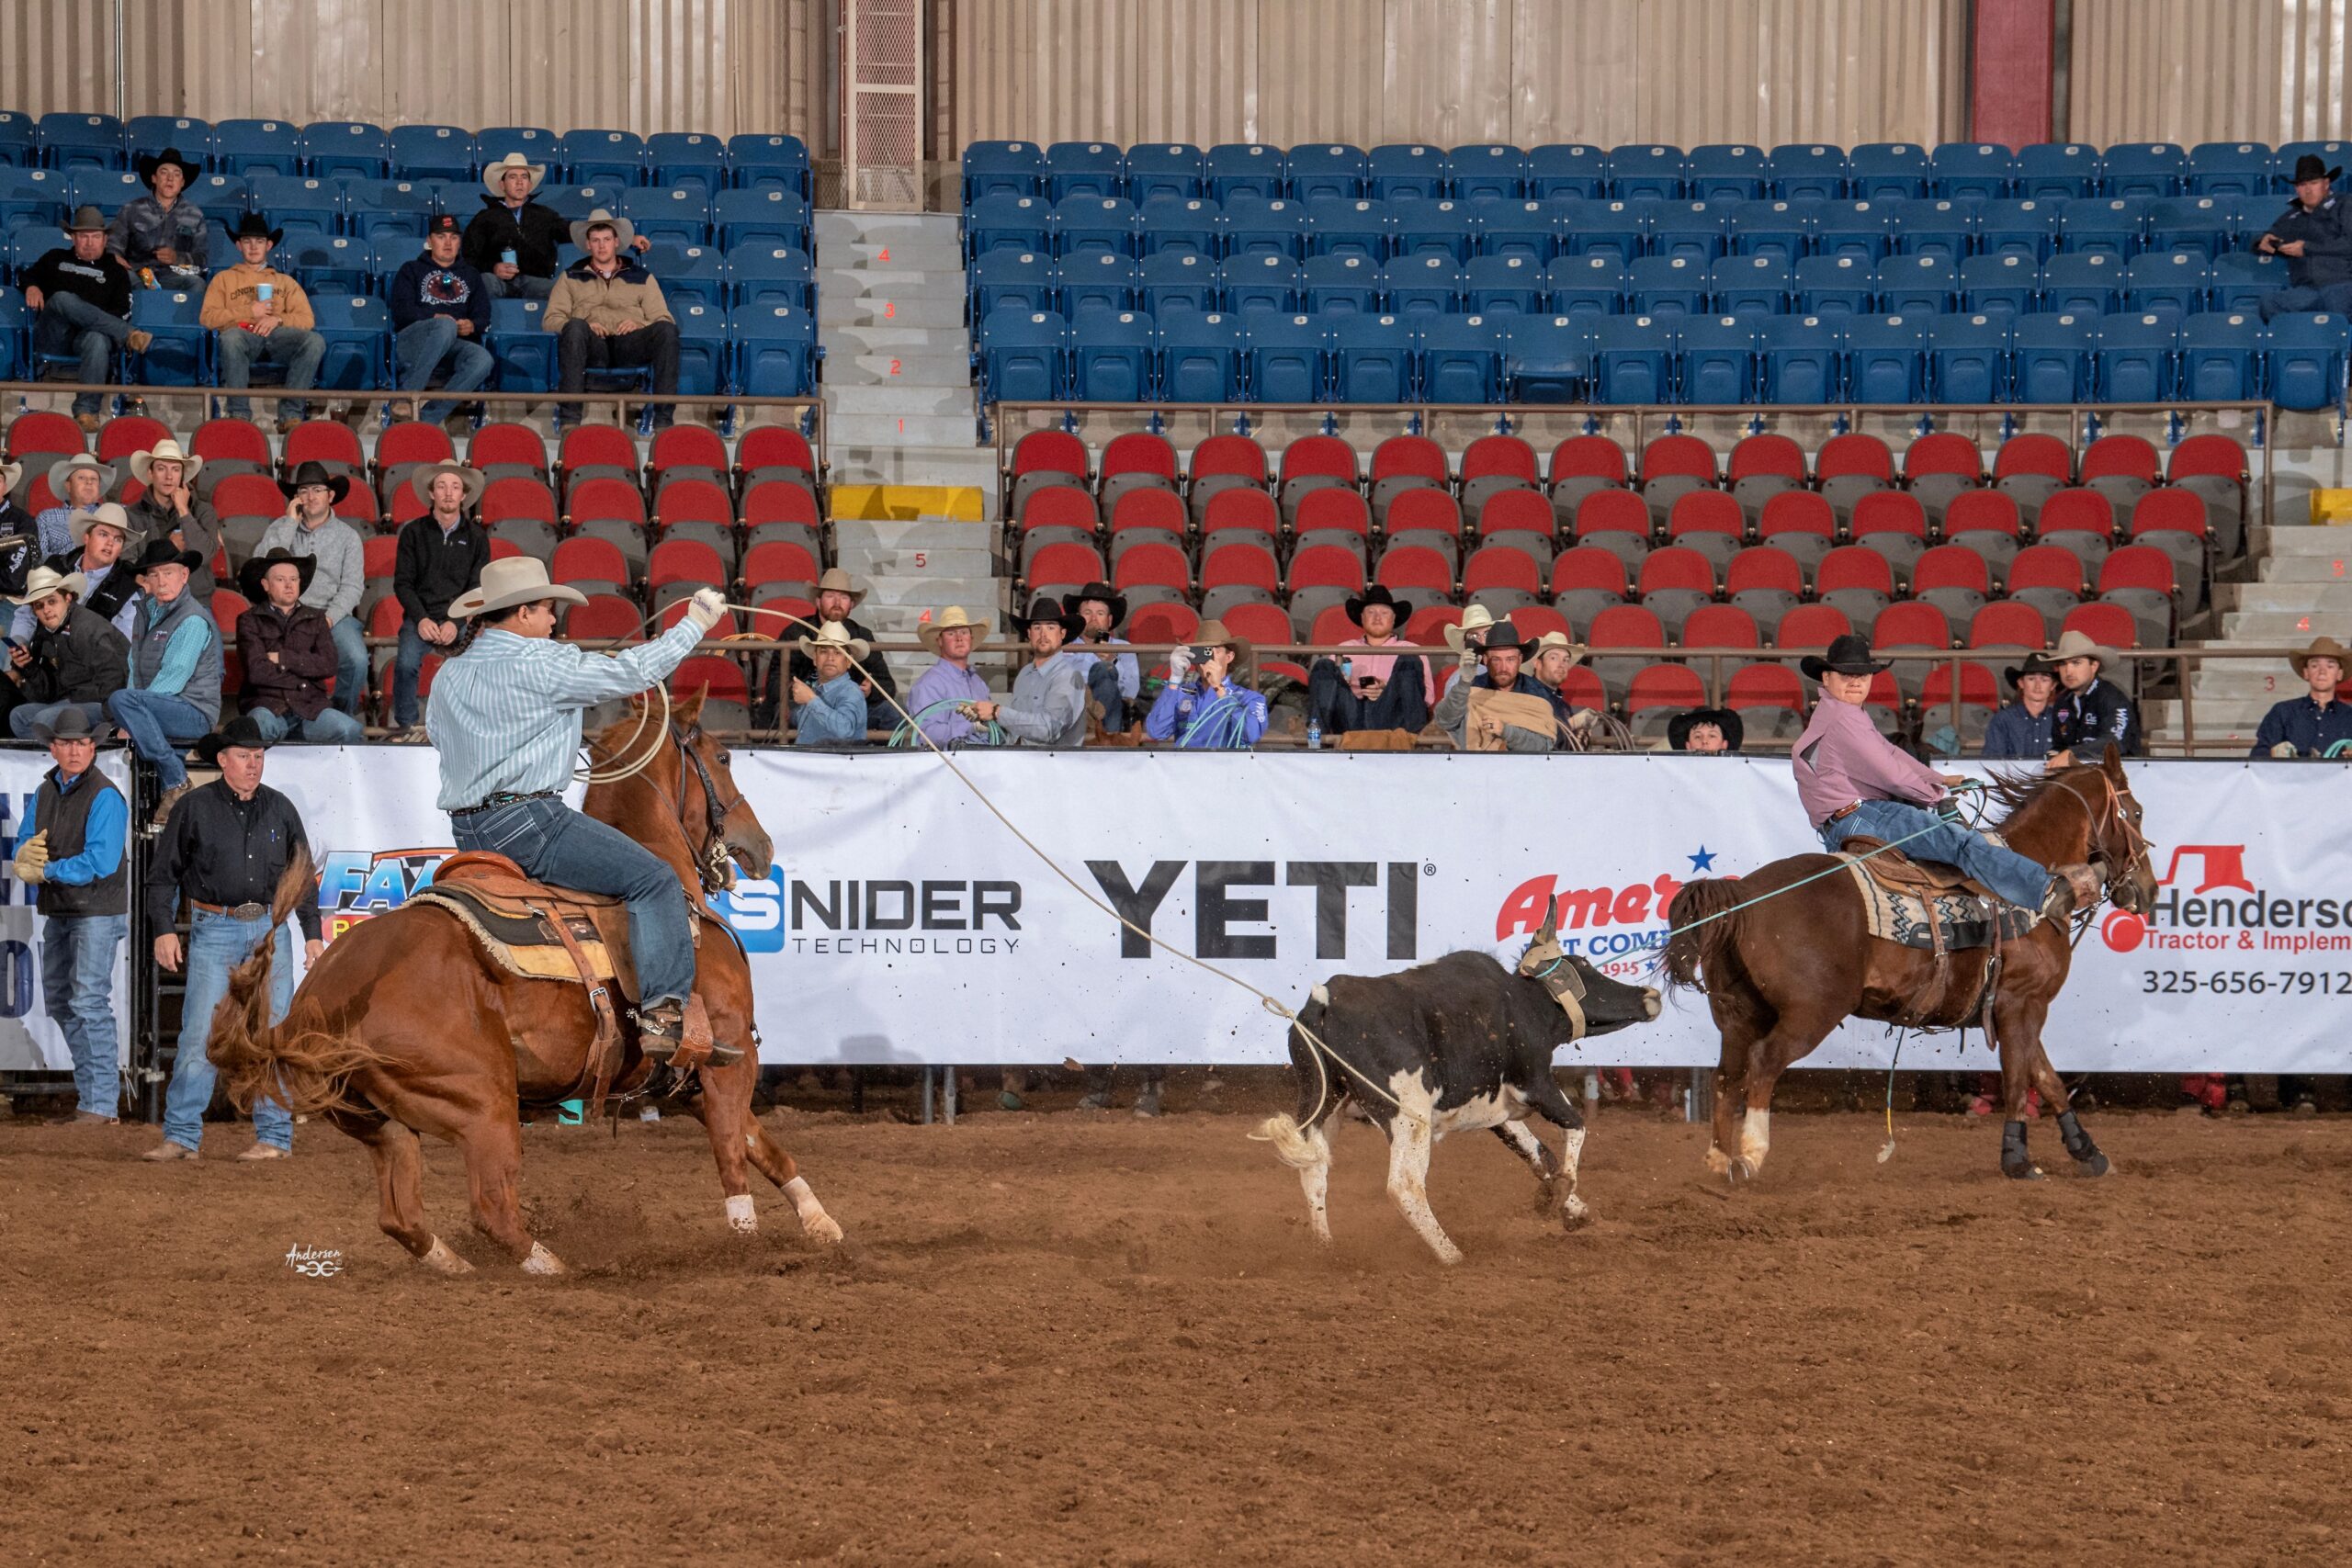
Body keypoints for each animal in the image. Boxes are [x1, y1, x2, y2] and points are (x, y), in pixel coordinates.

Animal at [207, 695, 842, 1279]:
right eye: (724, 756)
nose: (761, 847)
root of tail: (316, 1003)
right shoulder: (729, 1060)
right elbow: (733, 1151)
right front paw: (746, 1237)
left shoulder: (686, 1081)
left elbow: (765, 1147)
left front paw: (820, 1223)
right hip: (483, 1101)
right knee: (491, 1206)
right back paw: (553, 1267)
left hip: (382, 1120)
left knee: (401, 1216)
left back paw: (460, 1266)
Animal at [1656, 747, 2154, 1175]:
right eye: (2136, 812)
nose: (2148, 891)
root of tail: (1743, 894)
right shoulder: (2020, 1002)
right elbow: (2018, 1080)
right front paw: (2017, 1159)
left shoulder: (2021, 1006)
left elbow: (2046, 1077)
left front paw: (2089, 1153)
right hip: (1810, 1012)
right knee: (1763, 1063)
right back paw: (1751, 1154)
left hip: (1739, 1013)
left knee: (1728, 1075)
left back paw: (1719, 1159)